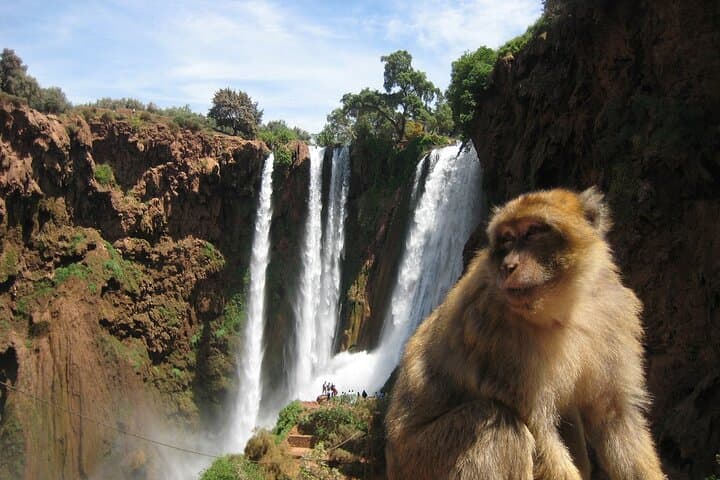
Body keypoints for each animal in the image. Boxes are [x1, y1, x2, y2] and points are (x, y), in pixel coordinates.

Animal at [385, 187, 664, 480]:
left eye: (532, 232)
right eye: (507, 238)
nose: (508, 265)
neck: (563, 308)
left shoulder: (613, 315)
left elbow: (614, 416)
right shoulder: (497, 337)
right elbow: (539, 431)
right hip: (422, 459)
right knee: (497, 424)